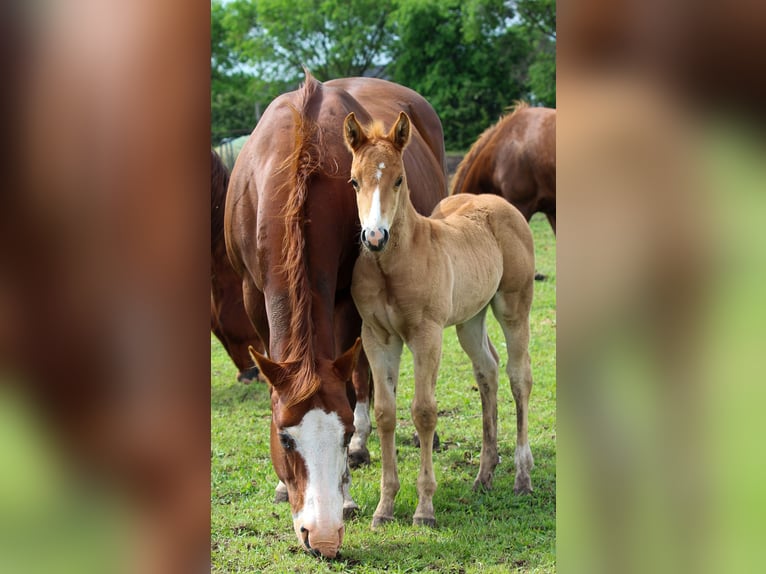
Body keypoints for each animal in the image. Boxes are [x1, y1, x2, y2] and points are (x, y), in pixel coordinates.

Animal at [224, 71, 447, 557]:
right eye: (285, 437)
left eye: (340, 434)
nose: (322, 538)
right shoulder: (251, 294)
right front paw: (282, 486)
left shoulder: (345, 295)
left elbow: (350, 385)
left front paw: (346, 491)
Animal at [345, 111, 536, 529]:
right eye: (354, 180)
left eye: (399, 178)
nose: (375, 237)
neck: (391, 267)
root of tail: (498, 202)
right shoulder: (377, 337)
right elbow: (385, 413)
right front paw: (384, 509)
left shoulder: (426, 335)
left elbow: (423, 412)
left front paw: (424, 510)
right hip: (470, 319)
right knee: (487, 371)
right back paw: (484, 474)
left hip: (514, 306)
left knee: (518, 377)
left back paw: (522, 477)